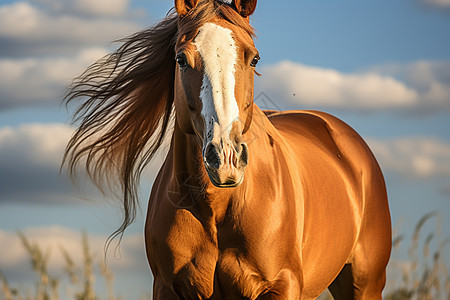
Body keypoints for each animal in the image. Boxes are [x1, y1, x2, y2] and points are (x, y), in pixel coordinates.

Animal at [63, 0, 390, 298]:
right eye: (181, 59)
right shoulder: (168, 288)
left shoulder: (281, 285)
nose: (225, 158)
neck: (216, 207)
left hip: (365, 283)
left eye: (254, 58)